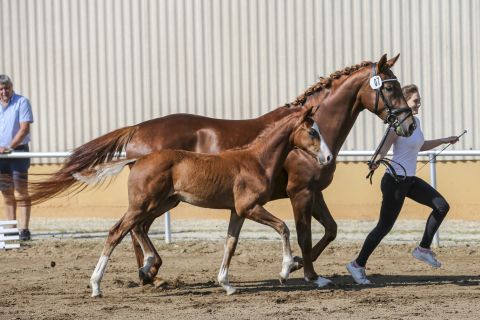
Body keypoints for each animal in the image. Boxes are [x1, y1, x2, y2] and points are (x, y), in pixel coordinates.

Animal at [80, 106, 332, 296]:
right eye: (312, 132)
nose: (328, 157)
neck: (256, 160)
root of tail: (137, 160)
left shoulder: (237, 211)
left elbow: (231, 243)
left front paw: (226, 284)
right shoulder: (249, 207)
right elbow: (284, 228)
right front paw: (285, 270)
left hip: (163, 203)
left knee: (137, 228)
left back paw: (148, 265)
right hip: (144, 204)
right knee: (117, 231)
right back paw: (97, 285)